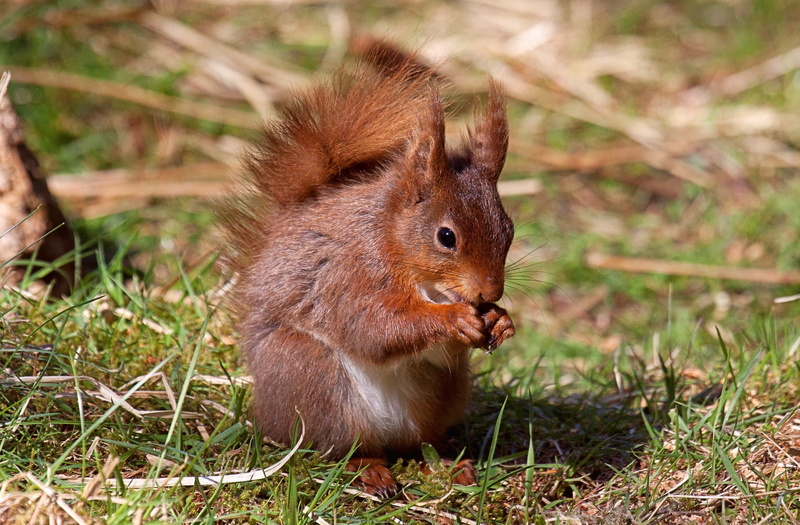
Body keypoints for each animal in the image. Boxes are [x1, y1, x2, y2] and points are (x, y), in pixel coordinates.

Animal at [222, 39, 515, 497]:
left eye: (509, 230)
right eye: (446, 236)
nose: (490, 293)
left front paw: (500, 321)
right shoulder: (348, 275)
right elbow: (372, 327)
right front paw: (453, 318)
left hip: (440, 394)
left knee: (421, 443)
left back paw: (449, 464)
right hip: (313, 379)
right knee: (343, 447)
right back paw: (370, 470)